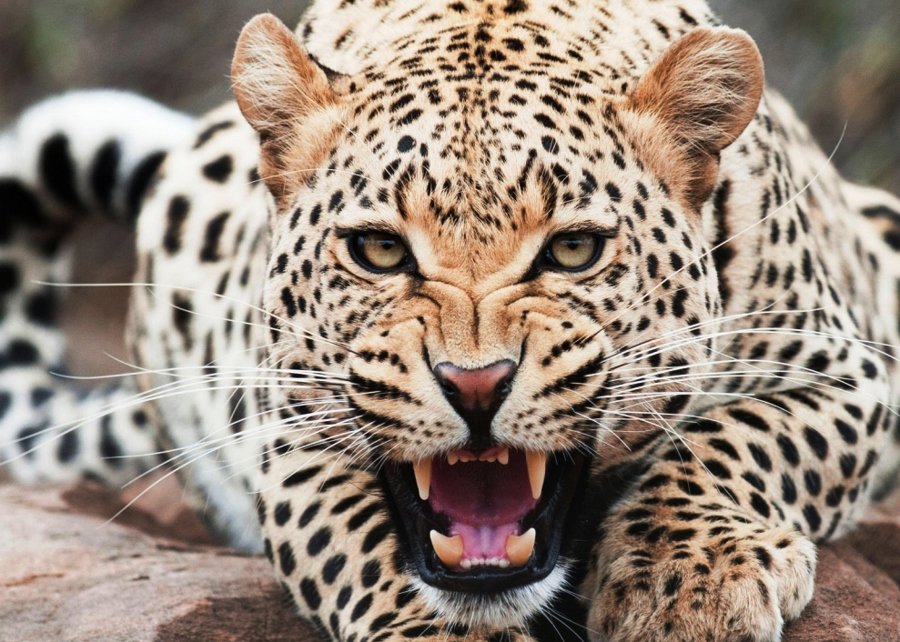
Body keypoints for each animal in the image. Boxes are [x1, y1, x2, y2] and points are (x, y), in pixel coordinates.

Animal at [1, 1, 899, 641]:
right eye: (377, 250)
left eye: (574, 249)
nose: (475, 385)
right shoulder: (291, 440)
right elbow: (365, 555)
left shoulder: (849, 373)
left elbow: (736, 439)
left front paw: (687, 582)